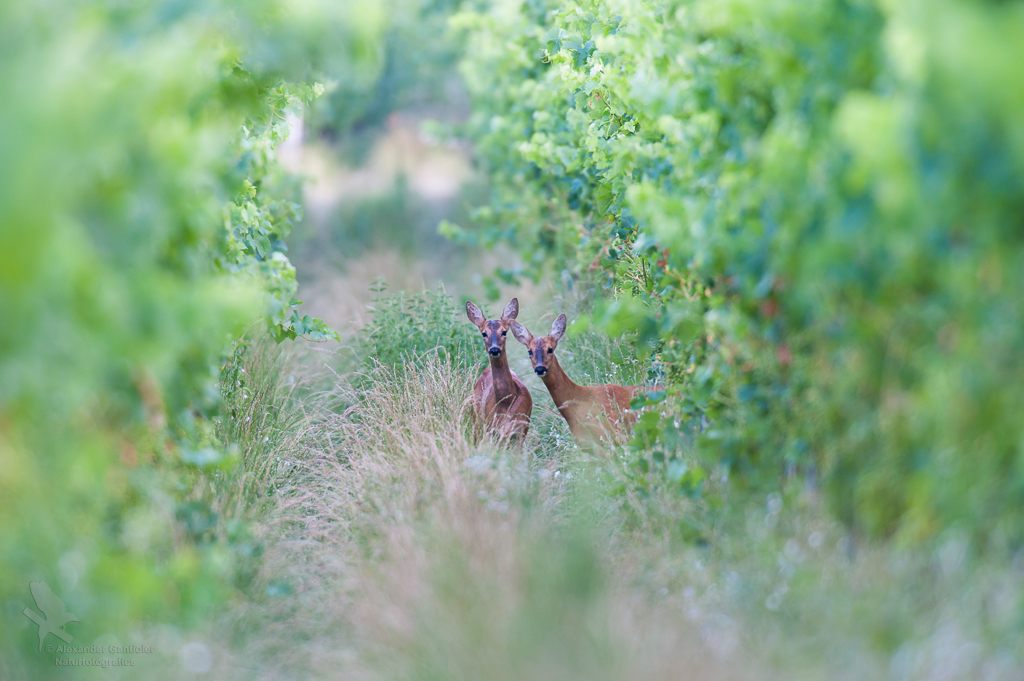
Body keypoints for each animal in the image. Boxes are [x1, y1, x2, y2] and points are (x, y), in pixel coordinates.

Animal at [464, 294, 528, 438]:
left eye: (504, 332)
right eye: (484, 333)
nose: (494, 349)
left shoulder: (522, 428)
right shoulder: (490, 427)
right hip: (476, 421)